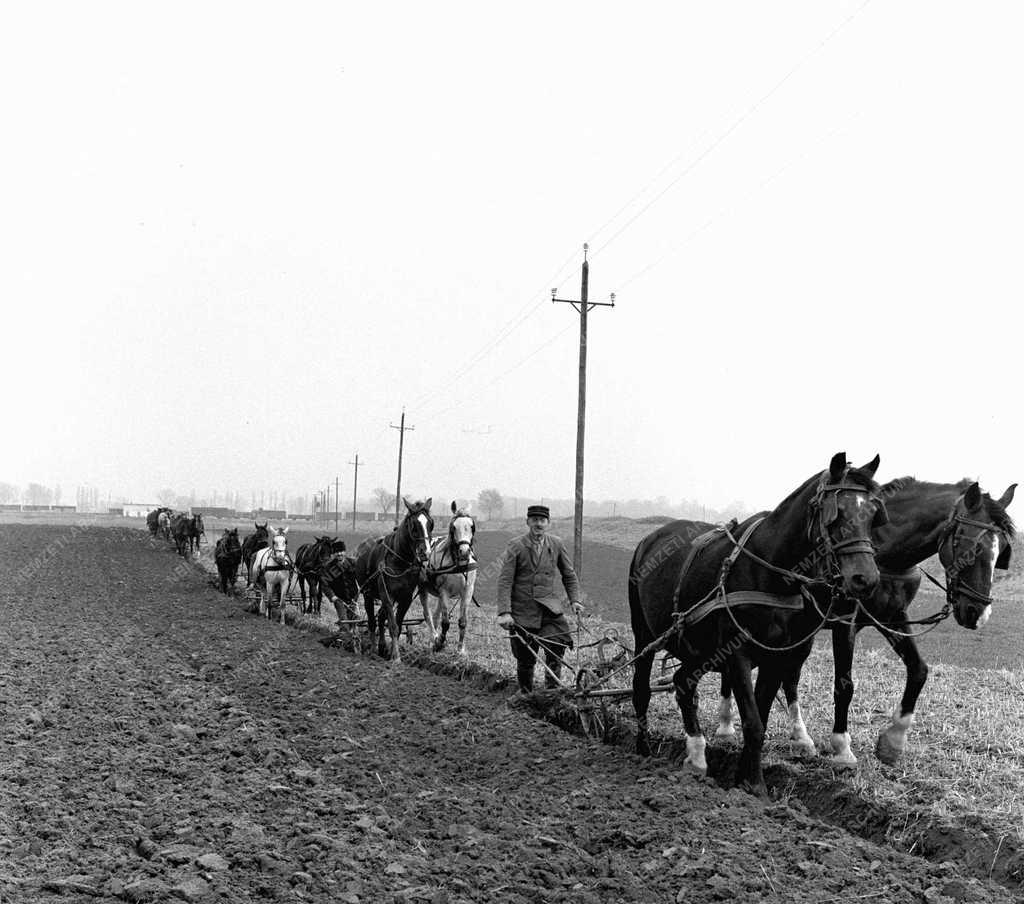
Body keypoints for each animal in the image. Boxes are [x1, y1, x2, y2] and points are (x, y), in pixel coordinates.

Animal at [354, 497, 434, 659]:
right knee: (372, 621)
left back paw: (382, 646)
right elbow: (393, 626)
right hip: (367, 593)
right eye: (414, 525)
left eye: (430, 524)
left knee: (380, 618)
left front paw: (391, 651)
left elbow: (397, 623)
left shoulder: (405, 597)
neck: (400, 561)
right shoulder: (387, 595)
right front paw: (396, 657)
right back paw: (373, 649)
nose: (425, 553)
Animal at [417, 501, 477, 659]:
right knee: (428, 615)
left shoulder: (467, 591)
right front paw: (440, 643)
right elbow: (445, 622)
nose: (464, 552)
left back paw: (433, 640)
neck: (458, 564)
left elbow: (463, 621)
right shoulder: (444, 591)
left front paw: (460, 649)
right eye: (454, 527)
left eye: (471, 526)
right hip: (423, 588)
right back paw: (434, 639)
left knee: (436, 616)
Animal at [626, 456, 884, 794]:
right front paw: (755, 785)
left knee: (683, 682)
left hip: (699, 647)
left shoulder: (777, 655)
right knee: (641, 689)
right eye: (835, 513)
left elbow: (760, 716)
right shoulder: (737, 654)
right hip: (645, 634)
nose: (866, 578)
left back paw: (696, 756)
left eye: (873, 514)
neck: (769, 571)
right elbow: (752, 720)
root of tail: (649, 538)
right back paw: (643, 750)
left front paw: (746, 779)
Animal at [716, 477, 1019, 765]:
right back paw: (725, 726)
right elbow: (844, 685)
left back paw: (800, 737)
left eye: (1002, 550)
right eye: (967, 544)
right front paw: (842, 747)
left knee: (790, 675)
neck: (884, 551)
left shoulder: (894, 617)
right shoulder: (844, 621)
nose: (978, 613)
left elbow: (919, 670)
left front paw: (893, 741)